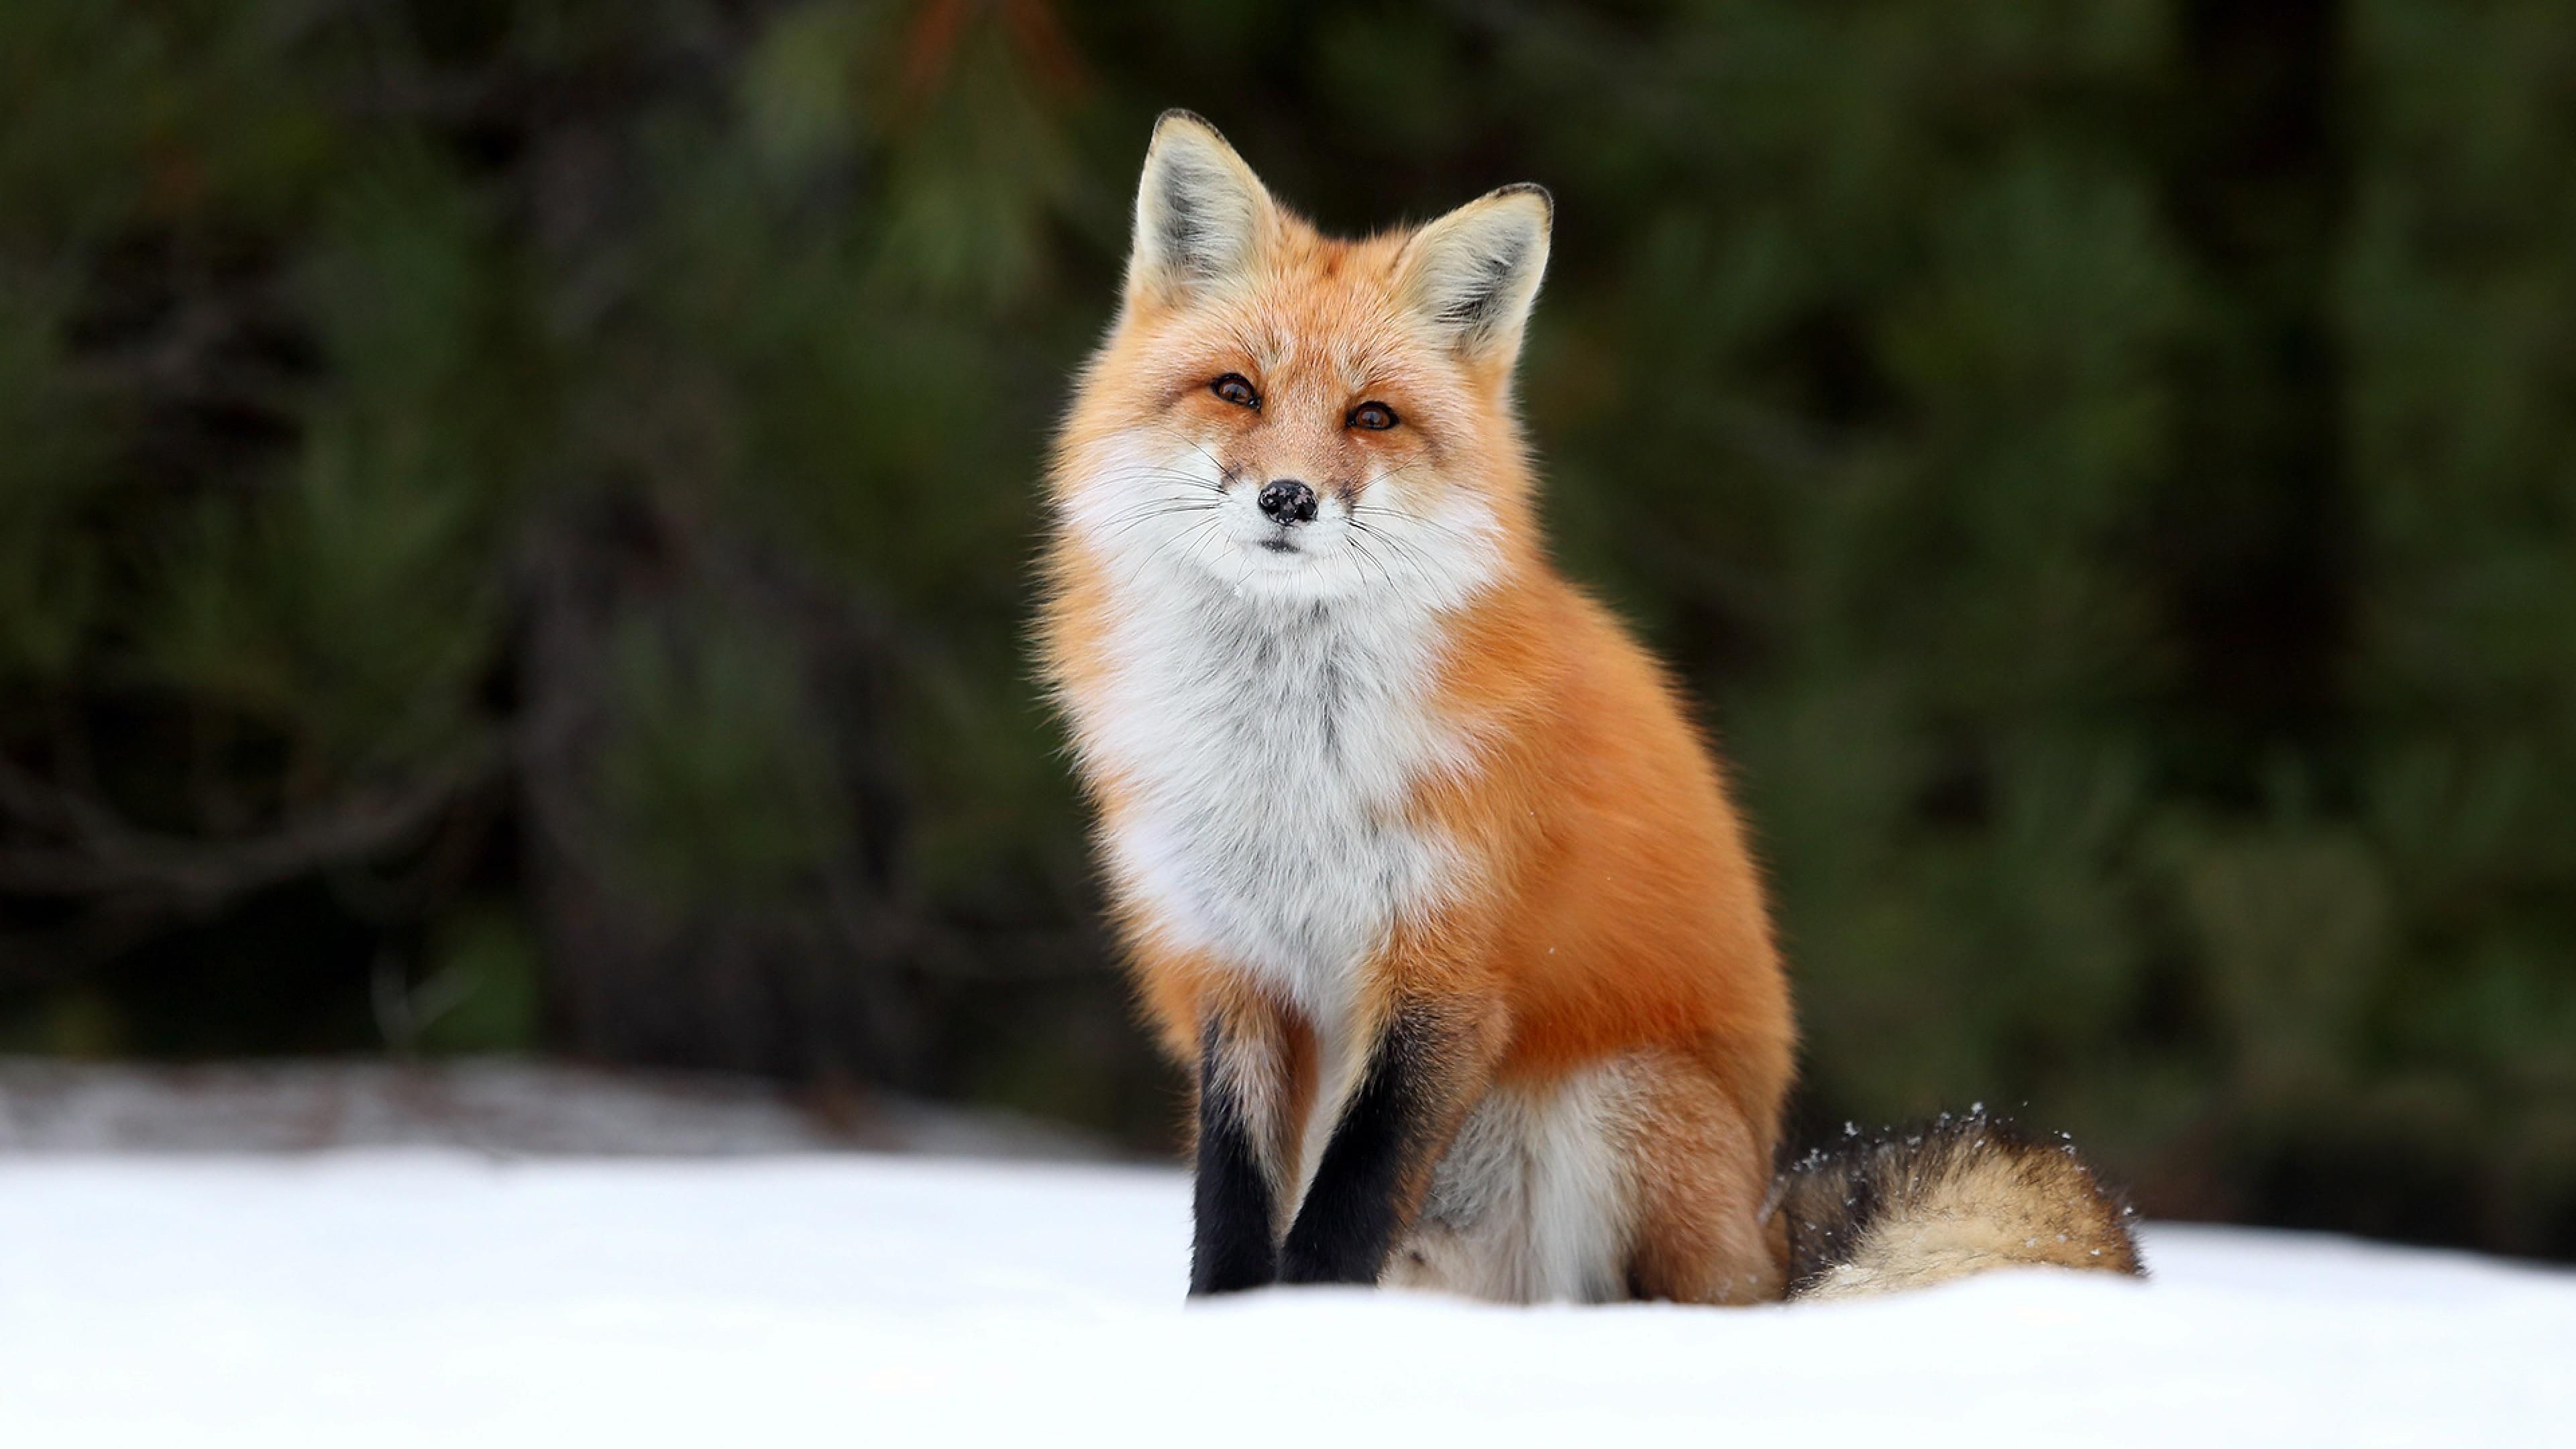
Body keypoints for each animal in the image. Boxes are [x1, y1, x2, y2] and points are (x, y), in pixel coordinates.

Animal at [1037, 110, 2143, 1304]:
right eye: (1236, 390)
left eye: (1372, 416)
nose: (1289, 498)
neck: (1286, 768)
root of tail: (1768, 1227)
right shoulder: (1234, 970)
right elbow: (1233, 1208)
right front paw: (1231, 1329)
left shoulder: (1444, 972)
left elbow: (1345, 1209)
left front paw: (1316, 1321)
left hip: (1616, 1106)